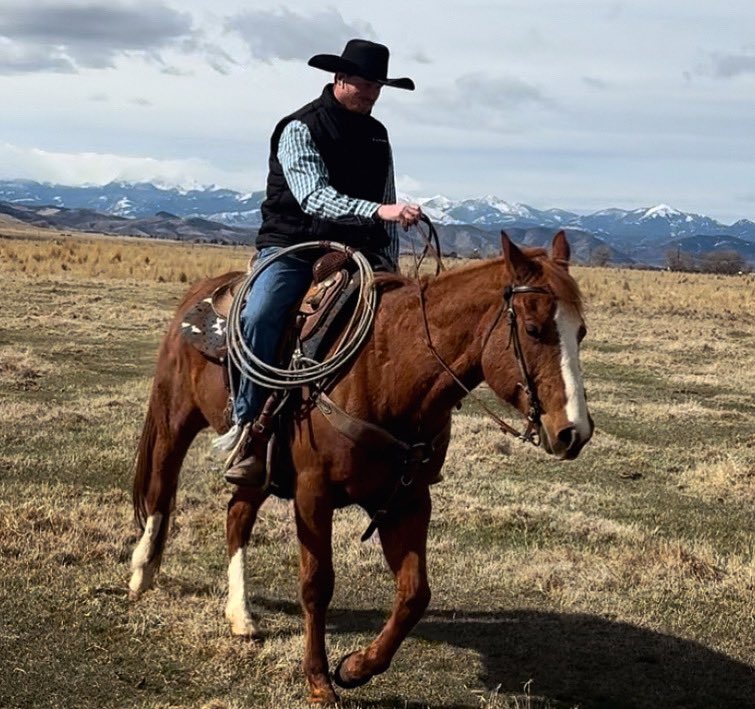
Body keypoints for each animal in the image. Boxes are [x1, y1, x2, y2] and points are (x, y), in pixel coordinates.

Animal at [128, 231, 592, 704]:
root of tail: (202, 291)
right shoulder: (312, 495)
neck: (388, 373)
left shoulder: (407, 500)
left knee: (237, 516)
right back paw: (142, 572)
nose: (574, 431)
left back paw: (241, 615)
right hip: (174, 418)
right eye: (533, 329)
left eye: (582, 332)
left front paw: (354, 668)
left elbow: (414, 593)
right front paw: (318, 680)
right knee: (161, 488)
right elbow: (317, 585)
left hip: (258, 466)